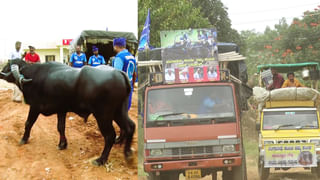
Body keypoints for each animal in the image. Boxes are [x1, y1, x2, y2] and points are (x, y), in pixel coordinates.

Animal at [0, 59, 135, 166]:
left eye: (8, 64)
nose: (1, 72)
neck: (34, 77)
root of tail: (119, 73)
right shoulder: (61, 110)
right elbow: (61, 127)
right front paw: (62, 144)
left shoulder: (35, 107)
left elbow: (28, 123)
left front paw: (23, 139)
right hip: (119, 111)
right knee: (130, 126)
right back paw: (127, 153)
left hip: (103, 115)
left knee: (110, 136)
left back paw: (101, 159)